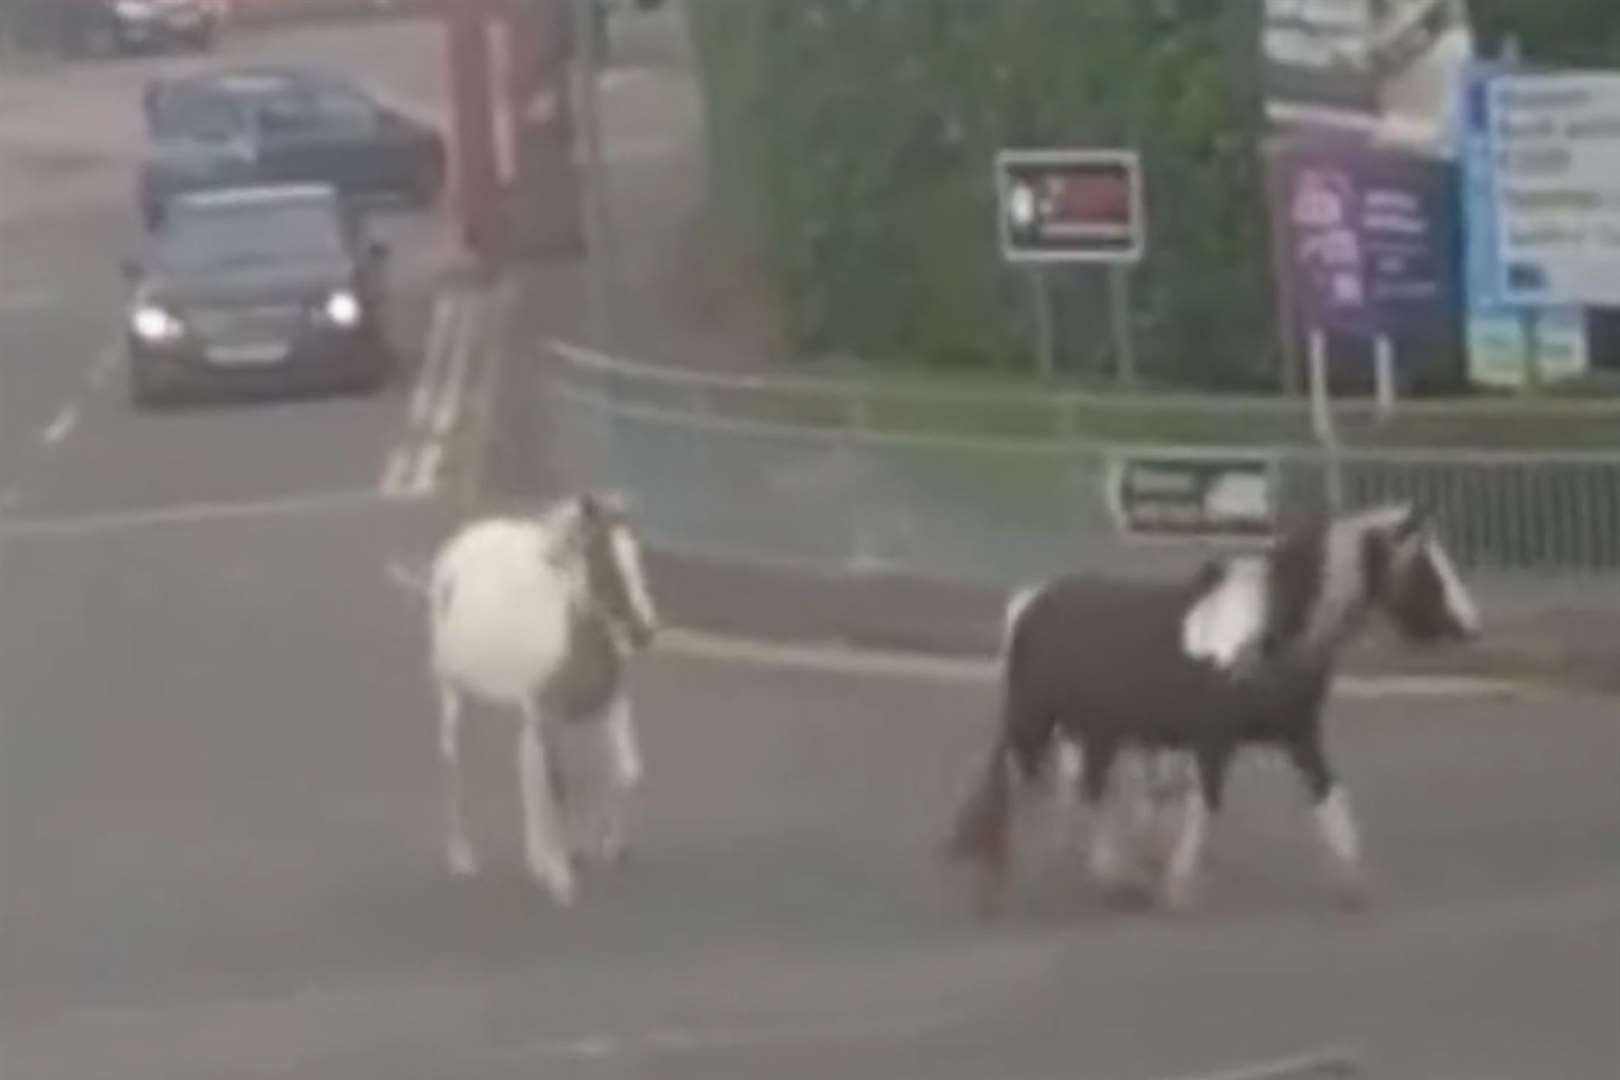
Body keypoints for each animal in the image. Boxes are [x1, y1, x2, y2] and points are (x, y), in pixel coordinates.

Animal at [946, 501, 1483, 919]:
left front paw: (1355, 884)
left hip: (1098, 731)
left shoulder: (1300, 736)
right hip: (1038, 725)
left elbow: (1330, 797)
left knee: (1090, 791)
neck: (1263, 638)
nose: (1471, 626)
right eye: (1428, 567)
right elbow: (1205, 806)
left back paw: (1115, 881)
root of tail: (1029, 602)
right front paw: (1179, 885)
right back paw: (998, 882)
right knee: (1012, 788)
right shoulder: (1212, 741)